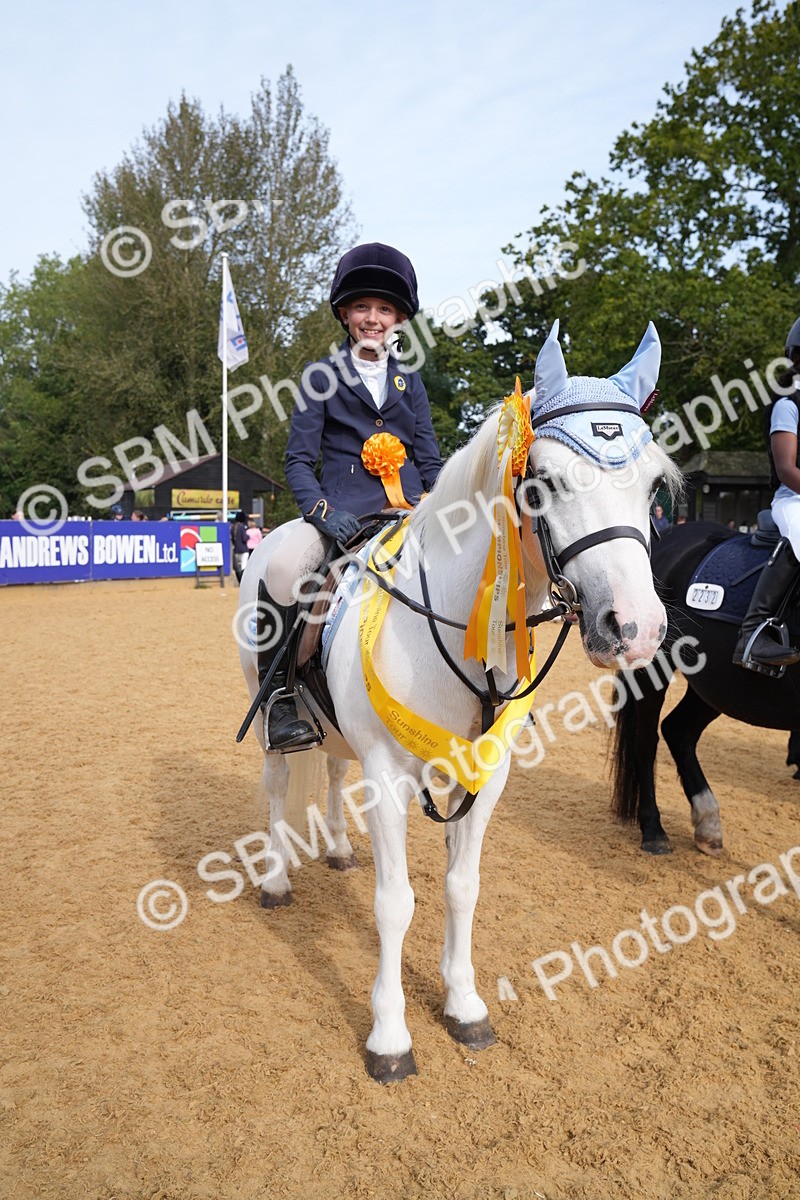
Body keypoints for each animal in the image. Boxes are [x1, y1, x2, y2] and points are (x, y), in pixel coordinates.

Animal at [237, 321, 680, 1082]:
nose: (637, 628)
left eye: (653, 483)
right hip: (268, 709)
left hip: (344, 738)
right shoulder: (389, 776)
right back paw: (274, 880)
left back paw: (336, 849)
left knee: (332, 767)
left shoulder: (484, 773)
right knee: (276, 784)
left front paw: (464, 1005)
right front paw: (390, 1038)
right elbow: (395, 903)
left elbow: (461, 887)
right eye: (545, 482)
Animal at [611, 519, 800, 855]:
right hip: (654, 668)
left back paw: (708, 824)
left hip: (719, 686)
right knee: (646, 739)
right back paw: (654, 830)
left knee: (679, 730)